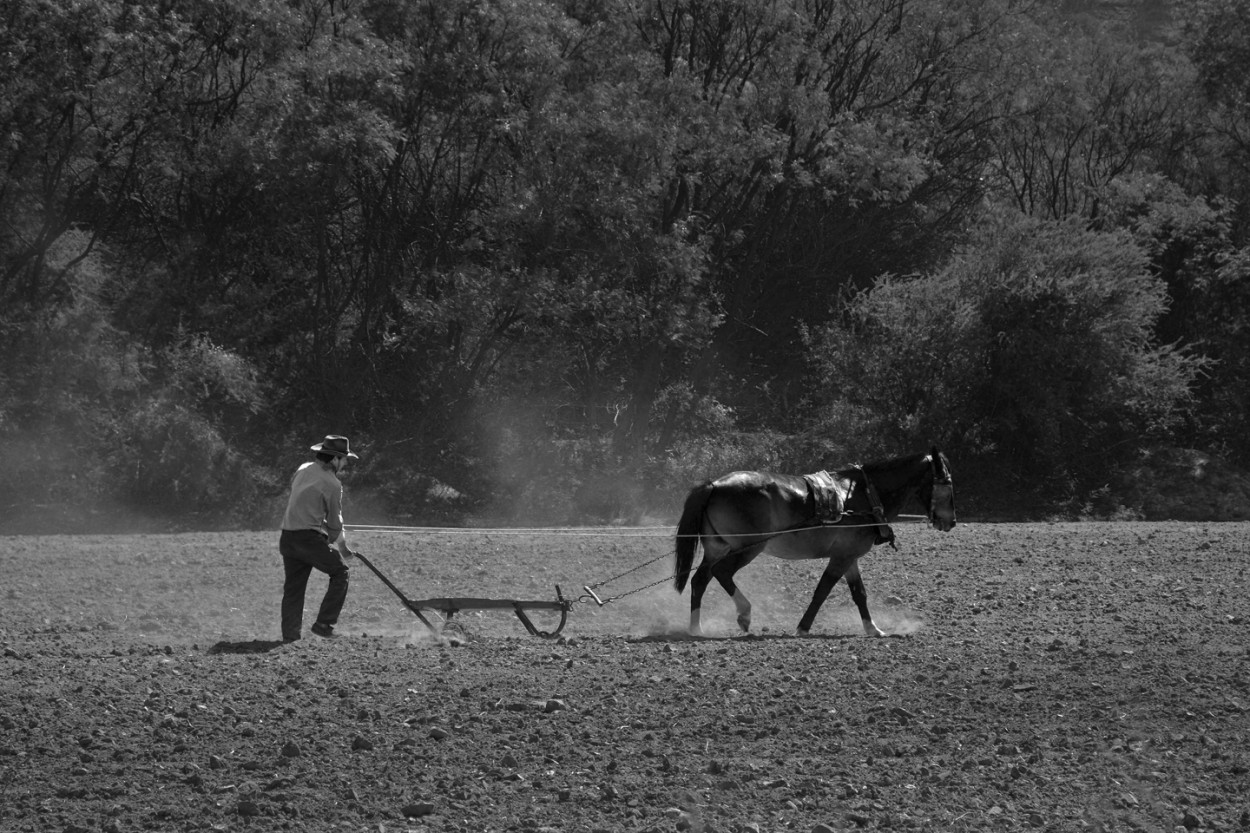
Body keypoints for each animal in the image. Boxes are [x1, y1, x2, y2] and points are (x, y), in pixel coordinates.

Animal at [675, 447, 955, 635]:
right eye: (947, 483)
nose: (950, 522)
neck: (865, 495)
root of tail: (714, 484)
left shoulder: (849, 556)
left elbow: (859, 593)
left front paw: (873, 629)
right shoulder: (841, 557)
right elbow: (823, 591)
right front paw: (803, 627)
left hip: (717, 548)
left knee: (700, 580)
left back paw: (695, 628)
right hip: (748, 547)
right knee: (722, 573)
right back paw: (744, 615)